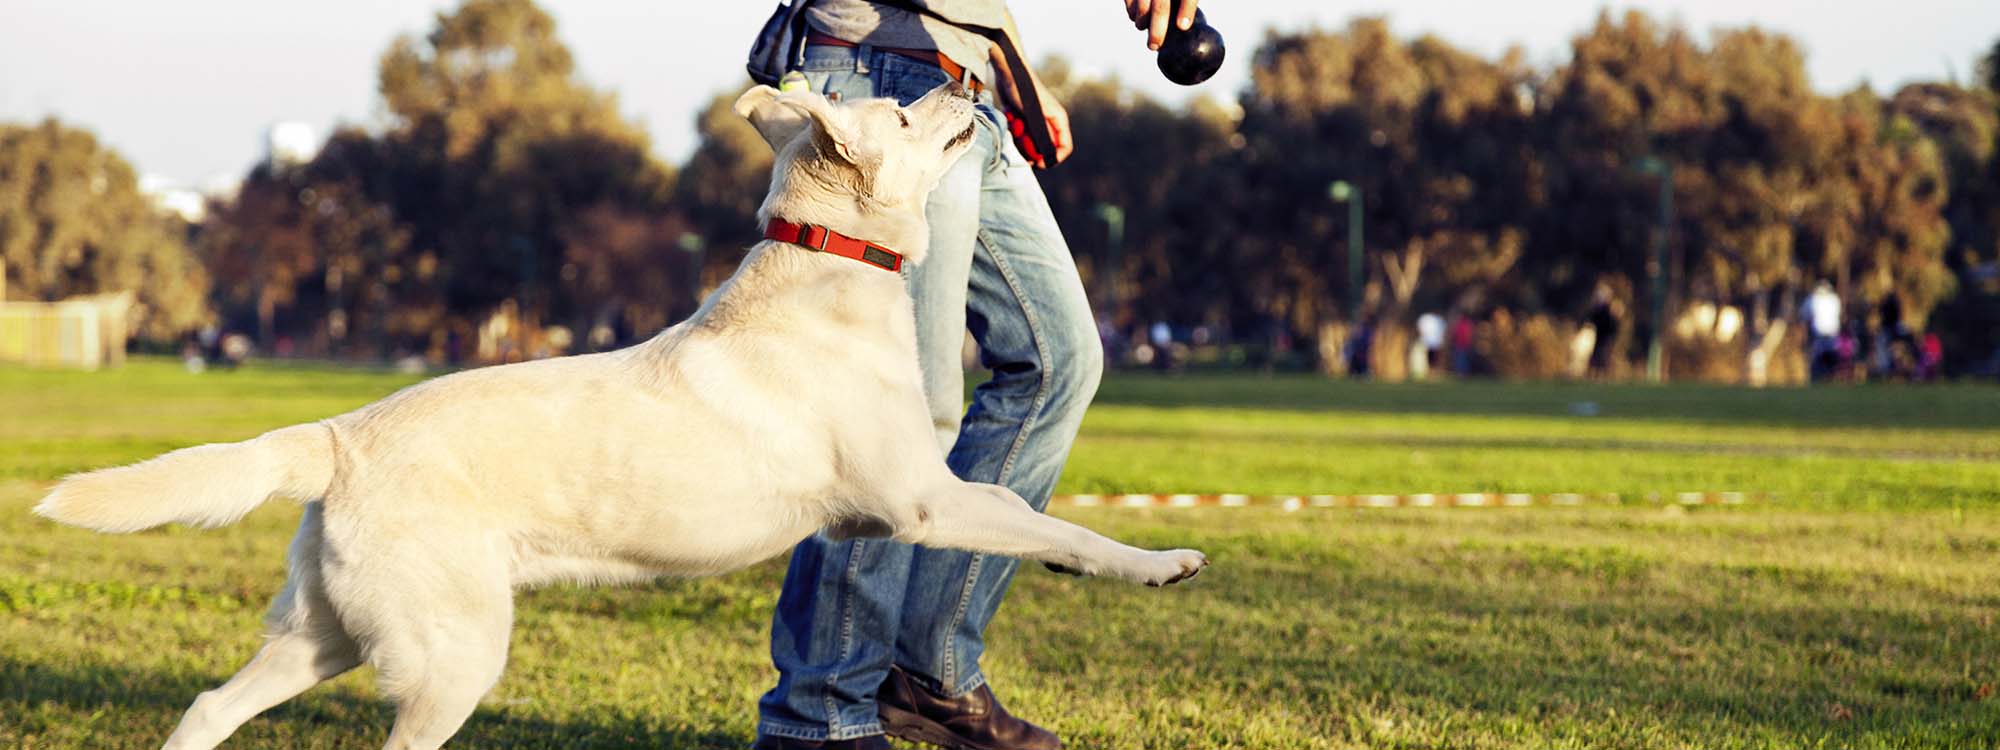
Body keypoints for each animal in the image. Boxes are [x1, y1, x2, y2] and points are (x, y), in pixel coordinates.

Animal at [31, 81, 1200, 750]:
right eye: (907, 115)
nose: (969, 83)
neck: (829, 269)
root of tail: (336, 436)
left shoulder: (903, 508)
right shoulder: (923, 501)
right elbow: (1053, 523)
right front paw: (1159, 562)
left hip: (324, 636)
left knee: (206, 707)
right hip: (451, 654)